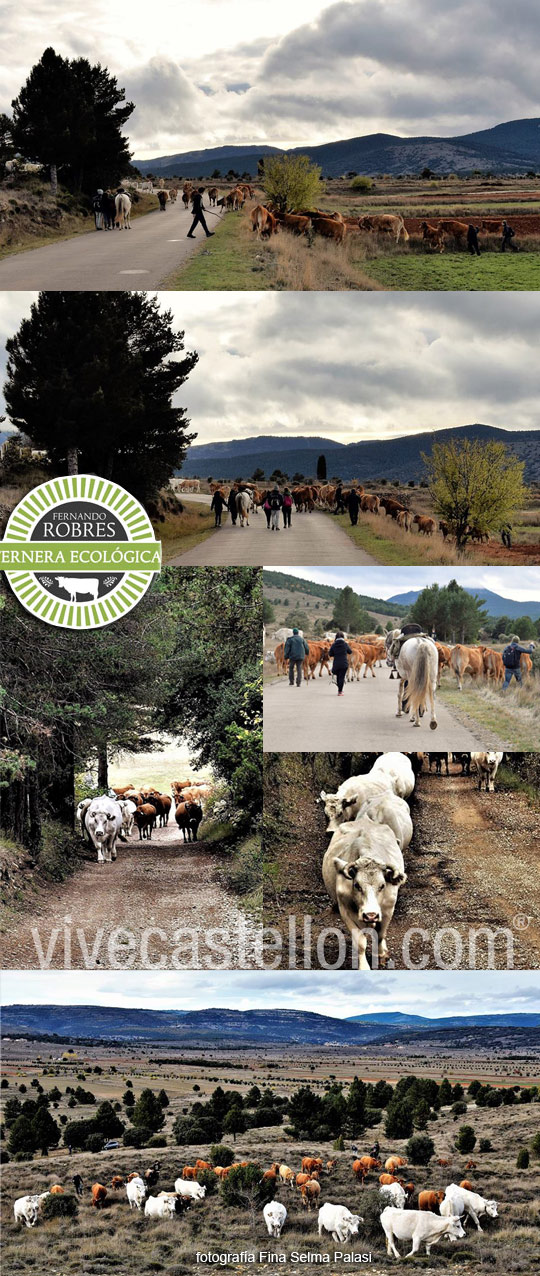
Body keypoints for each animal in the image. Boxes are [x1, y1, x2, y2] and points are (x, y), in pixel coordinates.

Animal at [321, 816, 405, 964]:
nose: (370, 915)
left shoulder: (388, 910)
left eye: (382, 885)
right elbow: (360, 942)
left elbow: (380, 934)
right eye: (357, 885)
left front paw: (381, 954)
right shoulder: (345, 911)